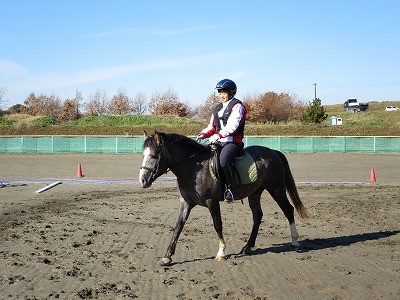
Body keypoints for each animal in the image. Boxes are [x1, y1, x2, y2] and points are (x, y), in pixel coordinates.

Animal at [139, 131, 308, 264]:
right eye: (144, 155)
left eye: (153, 156)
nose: (142, 180)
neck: (193, 167)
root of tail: (273, 152)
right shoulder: (186, 202)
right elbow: (178, 226)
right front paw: (168, 256)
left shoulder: (212, 202)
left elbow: (217, 225)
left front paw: (221, 252)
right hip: (255, 193)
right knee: (257, 216)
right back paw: (248, 246)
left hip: (276, 189)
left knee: (288, 210)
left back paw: (294, 241)